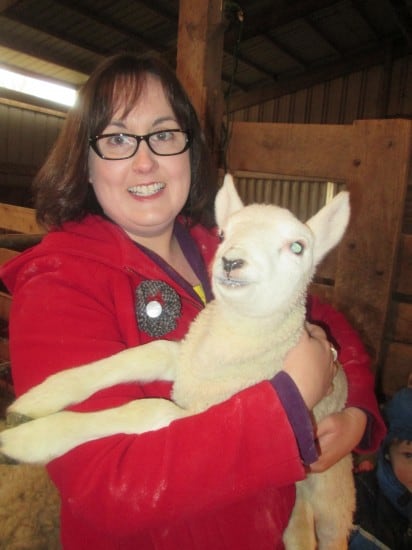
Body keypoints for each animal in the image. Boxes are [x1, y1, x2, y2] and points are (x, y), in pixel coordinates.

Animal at [0, 176, 354, 550]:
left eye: (297, 247)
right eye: (222, 234)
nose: (231, 261)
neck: (222, 350)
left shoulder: (218, 415)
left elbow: (150, 409)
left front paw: (25, 441)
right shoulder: (183, 358)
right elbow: (144, 354)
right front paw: (38, 399)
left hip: (334, 498)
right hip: (301, 501)